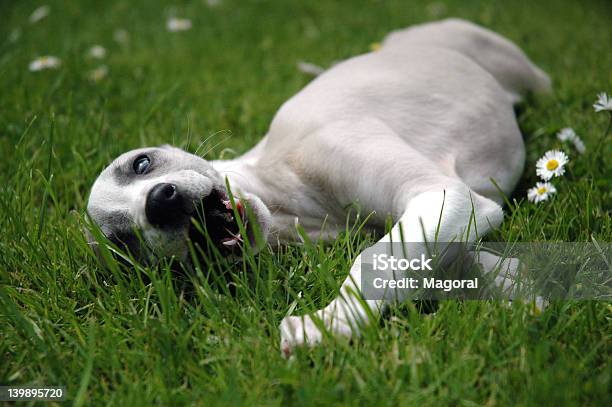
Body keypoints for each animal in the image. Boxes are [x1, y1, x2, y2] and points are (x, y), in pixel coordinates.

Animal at [86, 19, 548, 356]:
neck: (288, 201)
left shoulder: (442, 194)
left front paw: (326, 324)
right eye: (124, 243)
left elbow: (373, 260)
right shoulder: (446, 224)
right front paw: (520, 290)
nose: (160, 202)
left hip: (522, 73)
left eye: (141, 163)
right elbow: (448, 262)